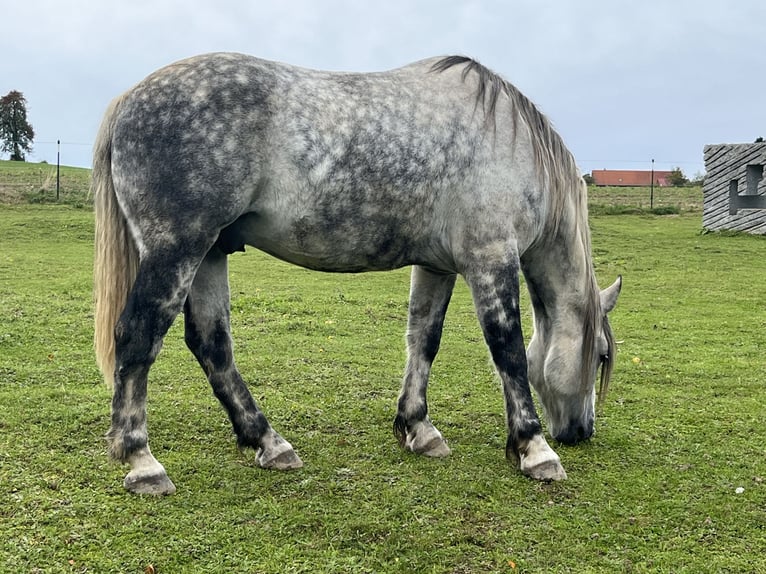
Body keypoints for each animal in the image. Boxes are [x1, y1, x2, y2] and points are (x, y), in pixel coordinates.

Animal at [94, 53, 624, 496]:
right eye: (600, 355)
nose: (580, 432)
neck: (510, 142)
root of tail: (128, 101)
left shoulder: (436, 265)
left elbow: (423, 340)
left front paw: (418, 428)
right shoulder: (491, 257)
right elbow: (508, 349)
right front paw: (535, 449)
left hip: (210, 253)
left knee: (211, 344)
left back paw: (268, 442)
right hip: (178, 250)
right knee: (138, 337)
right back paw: (143, 461)